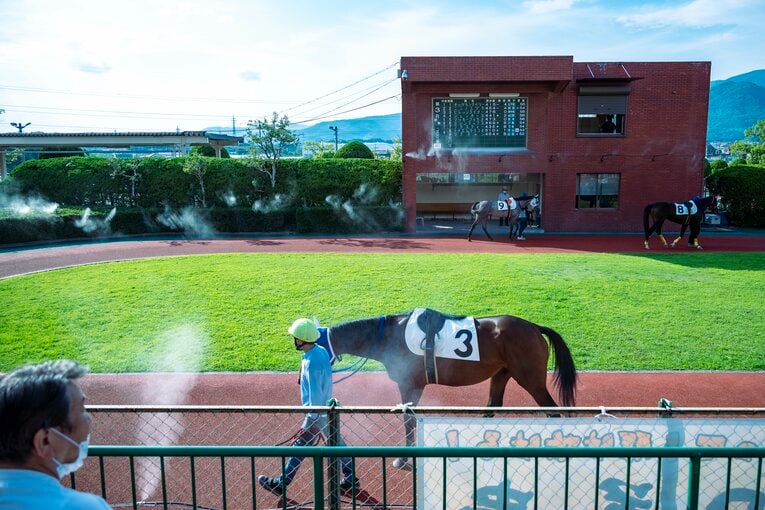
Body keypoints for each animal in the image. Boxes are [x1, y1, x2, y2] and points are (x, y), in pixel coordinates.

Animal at [326, 309, 577, 469]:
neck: (390, 336)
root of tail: (534, 327)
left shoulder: (410, 385)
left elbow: (408, 420)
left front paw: (403, 458)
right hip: (501, 374)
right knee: (492, 406)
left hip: (531, 380)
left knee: (553, 411)